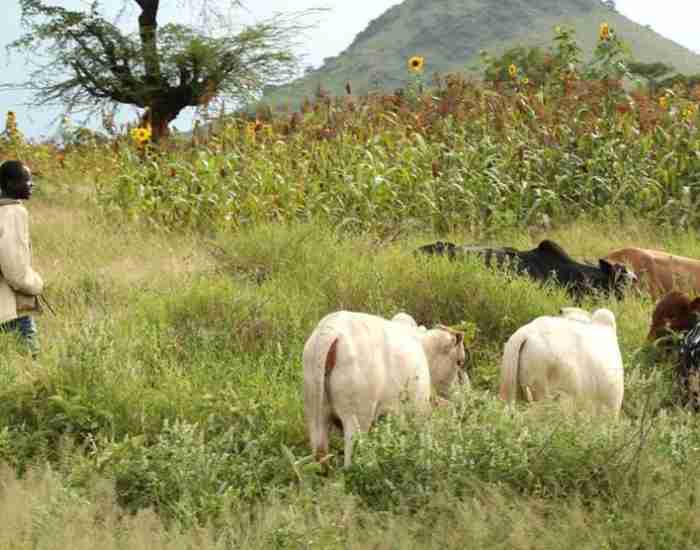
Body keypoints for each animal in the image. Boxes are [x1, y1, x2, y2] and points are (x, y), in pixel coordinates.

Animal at [302, 312, 462, 468]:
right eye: (460, 361)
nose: (458, 394)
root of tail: (329, 332)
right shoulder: (418, 408)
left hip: (315, 413)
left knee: (320, 455)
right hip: (356, 419)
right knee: (350, 461)